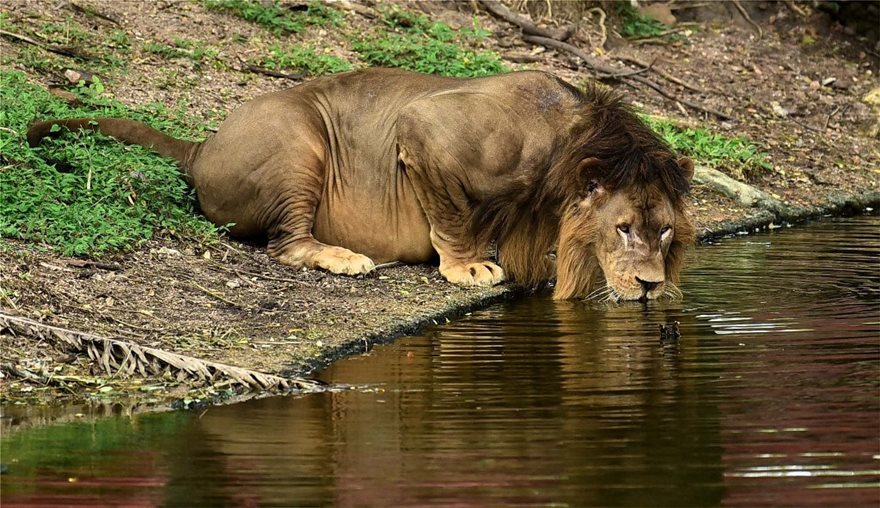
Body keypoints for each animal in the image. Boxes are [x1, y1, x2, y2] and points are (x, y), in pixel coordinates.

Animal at [25, 67, 696, 300]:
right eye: (623, 228)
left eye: (664, 232)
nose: (651, 286)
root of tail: (201, 145)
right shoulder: (425, 131)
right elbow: (452, 216)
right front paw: (468, 266)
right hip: (298, 142)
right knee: (286, 243)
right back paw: (343, 257)